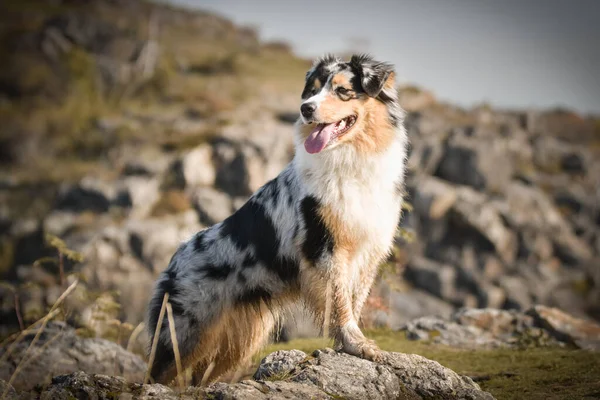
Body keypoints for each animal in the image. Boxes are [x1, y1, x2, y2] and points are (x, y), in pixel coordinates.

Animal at [145, 53, 408, 384]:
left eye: (343, 91)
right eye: (313, 90)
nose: (305, 108)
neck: (352, 159)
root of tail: (176, 256)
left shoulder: (367, 250)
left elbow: (353, 300)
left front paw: (350, 344)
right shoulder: (325, 247)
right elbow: (339, 302)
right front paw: (356, 344)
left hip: (237, 340)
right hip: (183, 330)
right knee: (158, 372)